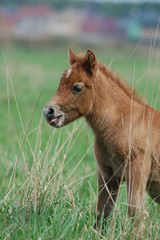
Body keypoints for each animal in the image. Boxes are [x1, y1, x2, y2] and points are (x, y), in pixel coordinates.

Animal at [43, 48, 160, 223]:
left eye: (77, 87)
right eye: (60, 82)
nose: (48, 112)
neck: (124, 122)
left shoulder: (137, 171)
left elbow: (135, 212)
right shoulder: (107, 175)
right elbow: (102, 212)